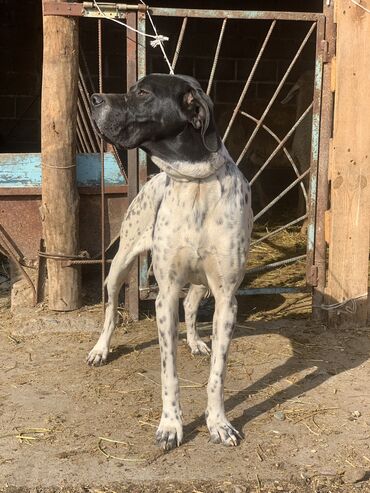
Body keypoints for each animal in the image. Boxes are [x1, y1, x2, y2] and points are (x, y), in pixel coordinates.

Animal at [88, 74, 253, 450]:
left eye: (142, 92)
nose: (94, 98)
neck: (194, 181)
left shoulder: (227, 299)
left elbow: (218, 375)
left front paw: (219, 423)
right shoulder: (164, 297)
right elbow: (169, 374)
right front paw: (170, 425)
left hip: (203, 284)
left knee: (191, 306)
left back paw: (195, 341)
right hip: (119, 266)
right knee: (111, 308)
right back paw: (101, 349)